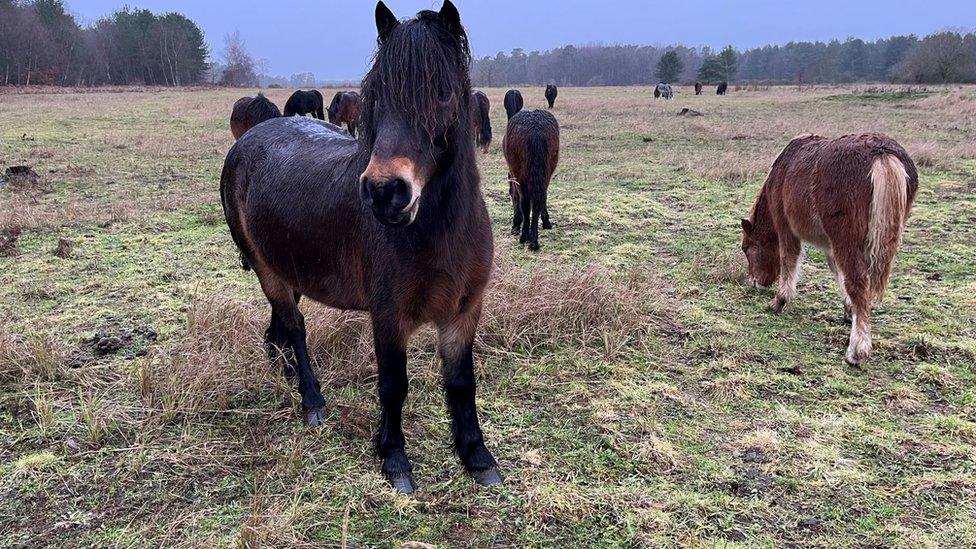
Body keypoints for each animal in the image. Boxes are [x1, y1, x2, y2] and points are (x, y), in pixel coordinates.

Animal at [218, 1, 500, 492]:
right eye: (374, 94)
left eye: (443, 93)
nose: (385, 191)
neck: (437, 233)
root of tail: (246, 142)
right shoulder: (388, 315)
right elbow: (393, 385)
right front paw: (394, 458)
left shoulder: (464, 311)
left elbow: (463, 383)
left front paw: (476, 456)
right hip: (267, 268)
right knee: (295, 327)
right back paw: (311, 399)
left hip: (288, 267)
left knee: (280, 321)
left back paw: (282, 367)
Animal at [504, 109, 556, 250]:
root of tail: (535, 129)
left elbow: (517, 198)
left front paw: (516, 225)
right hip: (546, 174)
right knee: (539, 199)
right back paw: (533, 240)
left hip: (520, 176)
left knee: (525, 204)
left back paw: (525, 236)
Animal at [744, 132, 920, 364]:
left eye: (746, 249)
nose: (755, 283)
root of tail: (882, 153)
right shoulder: (831, 246)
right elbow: (838, 273)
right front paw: (848, 310)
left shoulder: (786, 229)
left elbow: (788, 261)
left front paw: (779, 302)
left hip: (846, 239)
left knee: (858, 281)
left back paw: (857, 351)